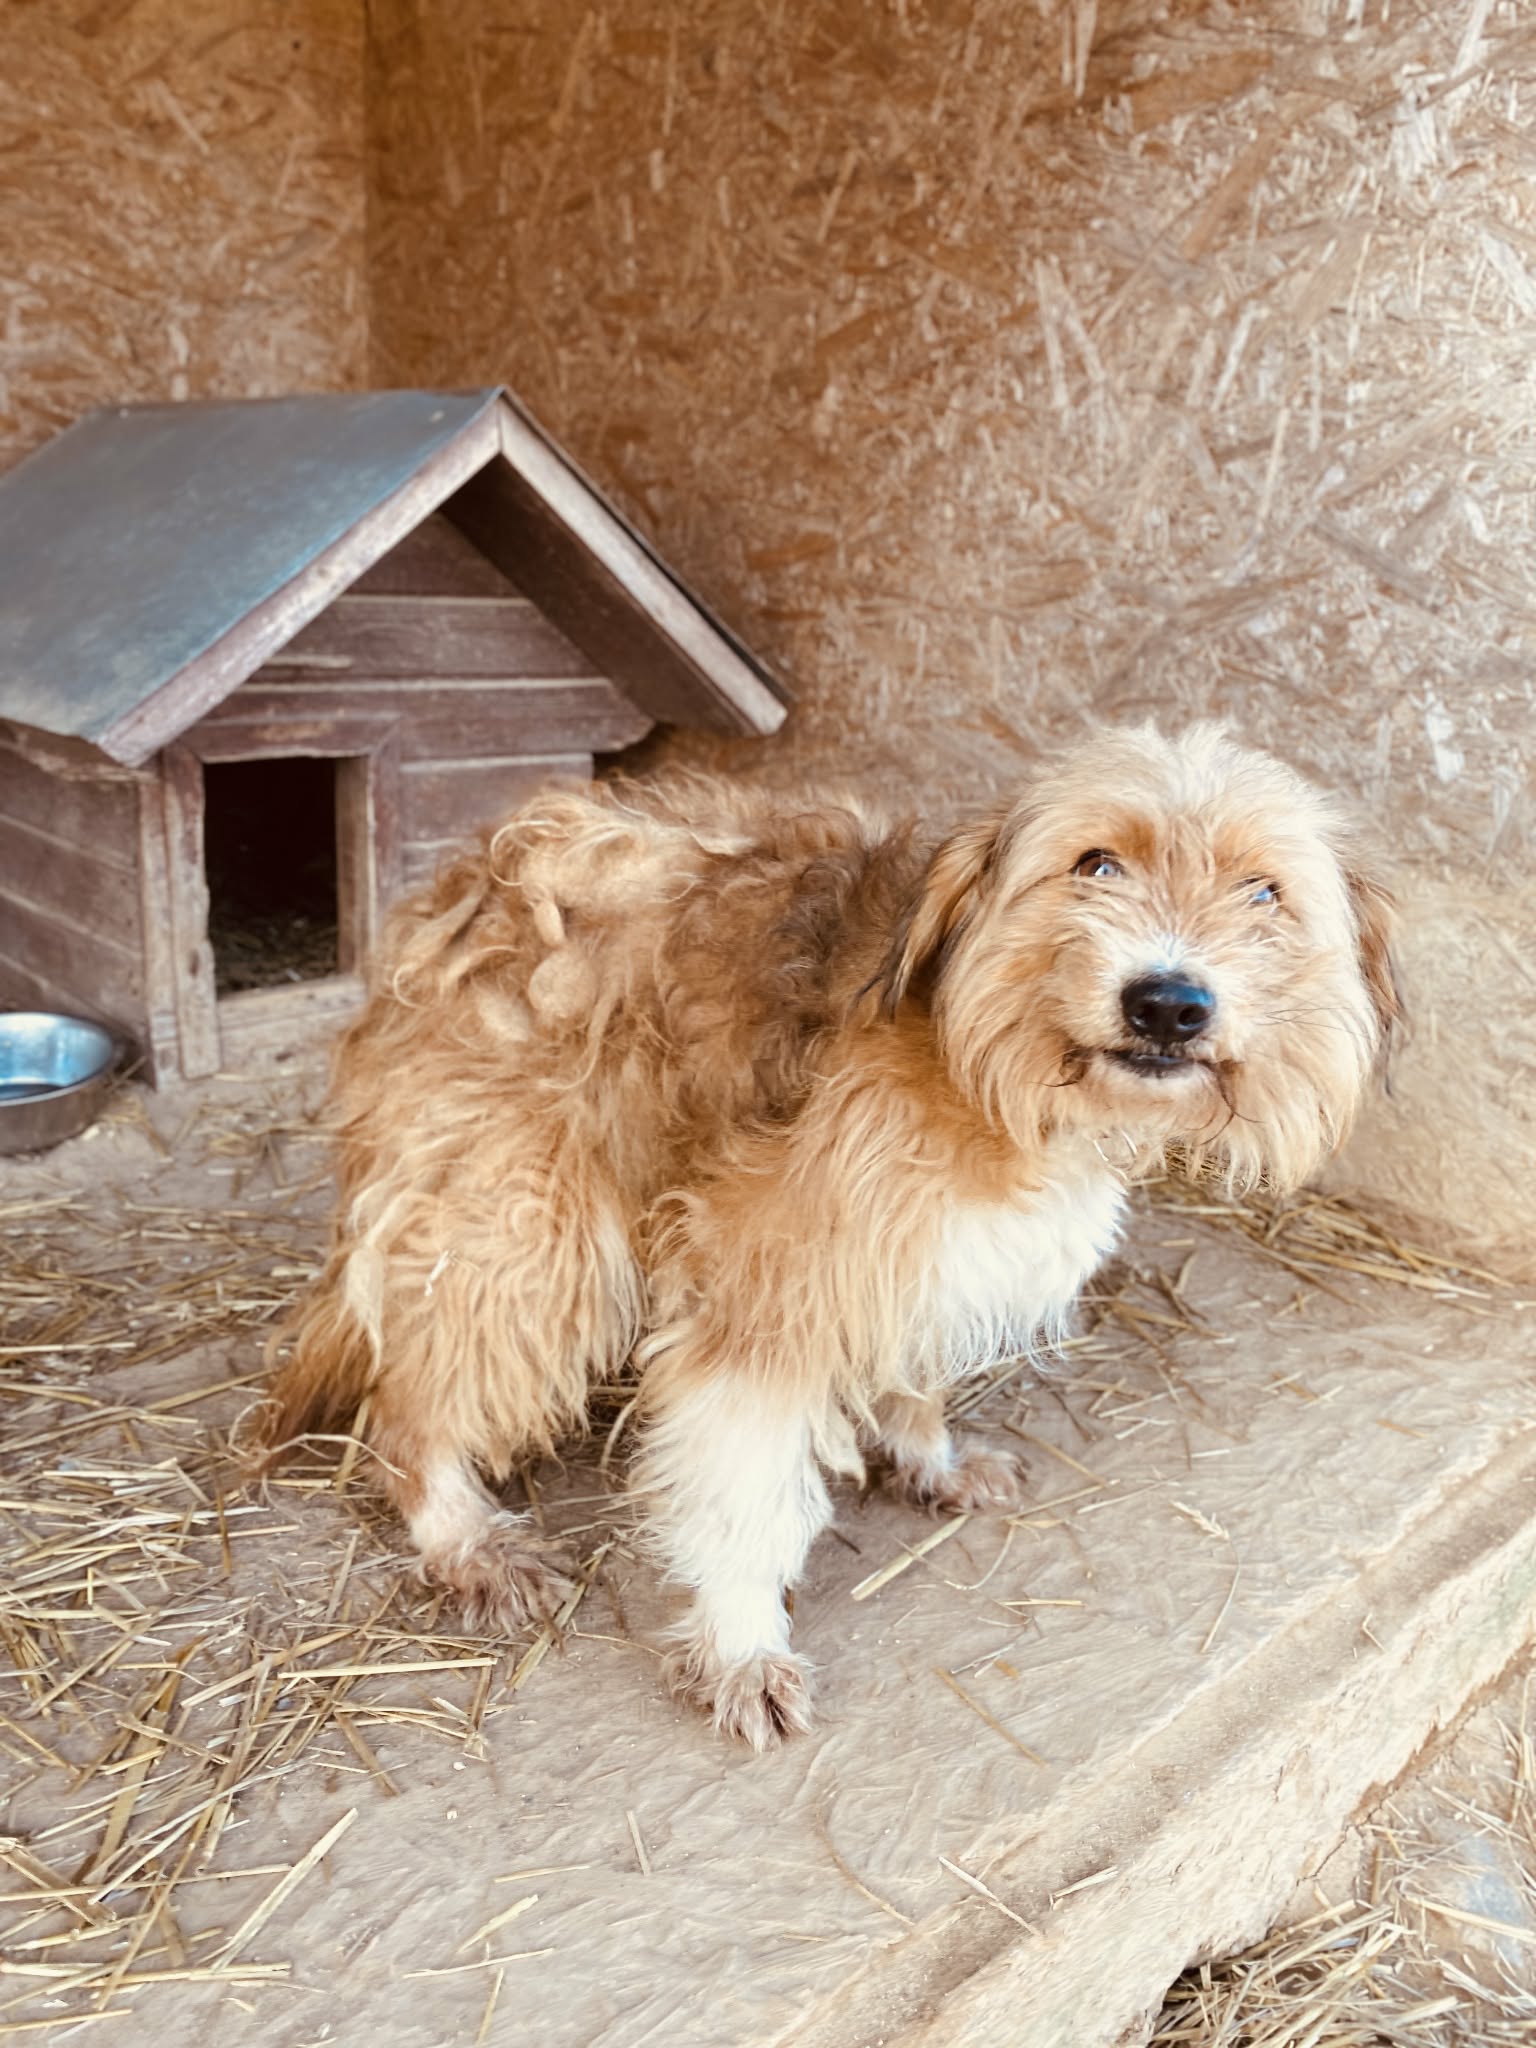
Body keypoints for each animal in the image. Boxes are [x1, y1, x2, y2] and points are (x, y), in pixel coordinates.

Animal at [261, 723, 1398, 1749]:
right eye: (1095, 864)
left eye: (1264, 893)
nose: (1169, 1001)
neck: (972, 1060)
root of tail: (456, 887)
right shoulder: (765, 1289)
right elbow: (743, 1495)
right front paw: (741, 1648)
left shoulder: (919, 1258)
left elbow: (912, 1374)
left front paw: (929, 1458)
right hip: (532, 1227)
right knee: (409, 1401)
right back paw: (464, 1537)